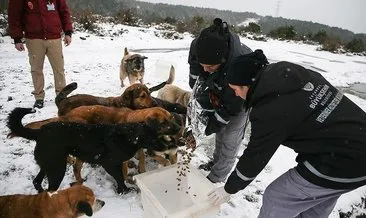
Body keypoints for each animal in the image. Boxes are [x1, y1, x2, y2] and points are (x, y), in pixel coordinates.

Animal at [7, 107, 180, 194]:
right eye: (164, 123)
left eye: (171, 118)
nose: (179, 129)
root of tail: (40, 132)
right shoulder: (110, 163)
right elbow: (120, 176)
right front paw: (124, 189)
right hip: (59, 168)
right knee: (64, 177)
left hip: (50, 163)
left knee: (38, 180)